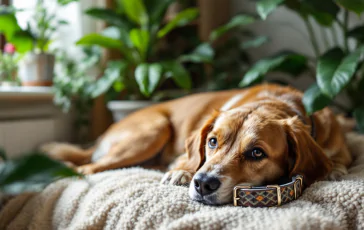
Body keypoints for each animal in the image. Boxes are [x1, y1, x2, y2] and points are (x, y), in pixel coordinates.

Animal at [42, 84, 352, 205]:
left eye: (257, 152)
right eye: (212, 141)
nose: (203, 184)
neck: (275, 103)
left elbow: (336, 161)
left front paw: (334, 169)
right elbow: (187, 160)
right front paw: (181, 171)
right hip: (152, 131)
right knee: (86, 168)